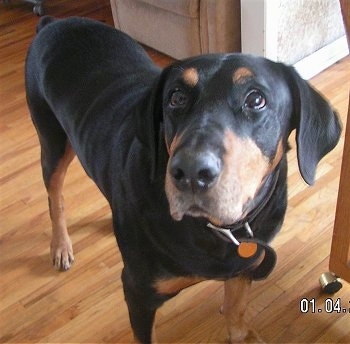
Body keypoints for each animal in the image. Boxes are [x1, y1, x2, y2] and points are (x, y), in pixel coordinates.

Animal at [25, 16, 342, 344]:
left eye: (256, 99)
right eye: (176, 97)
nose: (190, 171)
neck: (218, 230)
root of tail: (54, 23)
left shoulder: (244, 265)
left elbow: (236, 310)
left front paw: (243, 333)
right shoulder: (139, 292)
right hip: (52, 139)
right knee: (55, 196)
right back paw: (60, 245)